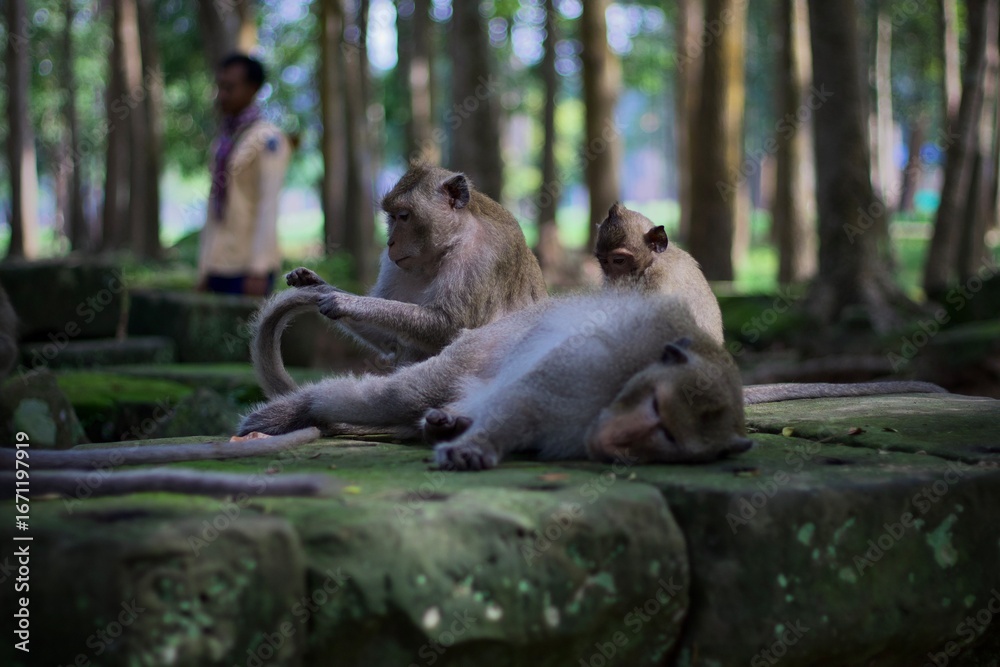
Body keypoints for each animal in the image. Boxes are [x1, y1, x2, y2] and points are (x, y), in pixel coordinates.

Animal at [239, 290, 755, 471]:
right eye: (656, 410)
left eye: (670, 439)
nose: (623, 441)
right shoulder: (596, 359)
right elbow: (526, 402)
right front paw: (476, 445)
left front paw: (460, 434)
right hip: (477, 351)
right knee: (403, 394)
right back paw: (299, 409)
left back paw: (447, 423)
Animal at [252, 163, 547, 398]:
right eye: (390, 217)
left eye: (404, 216)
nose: (389, 242)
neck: (451, 243)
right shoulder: (395, 266)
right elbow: (391, 342)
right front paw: (316, 284)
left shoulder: (481, 257)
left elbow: (451, 327)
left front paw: (347, 301)